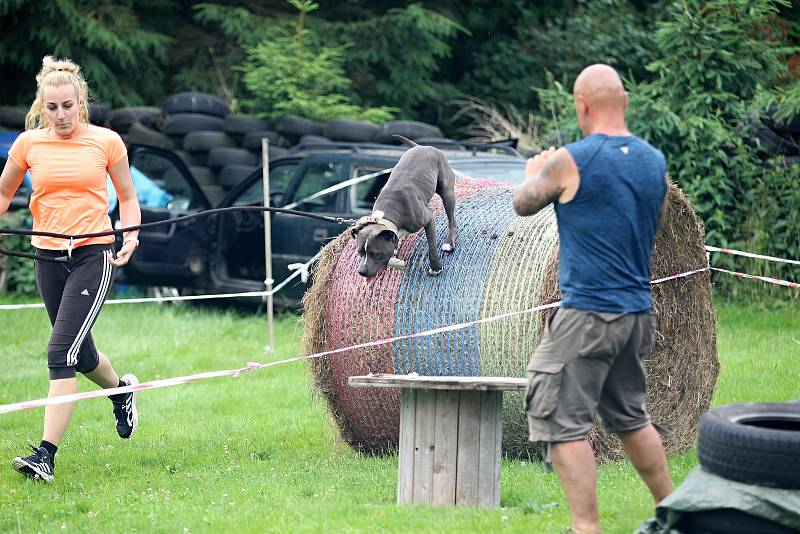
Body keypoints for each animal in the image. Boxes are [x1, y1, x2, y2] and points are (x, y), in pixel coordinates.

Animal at [350, 136, 456, 278]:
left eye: (376, 254)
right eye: (359, 252)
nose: (361, 272)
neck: (387, 215)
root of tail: (421, 146)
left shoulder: (428, 219)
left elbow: (432, 246)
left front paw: (435, 268)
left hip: (447, 192)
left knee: (452, 220)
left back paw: (449, 244)